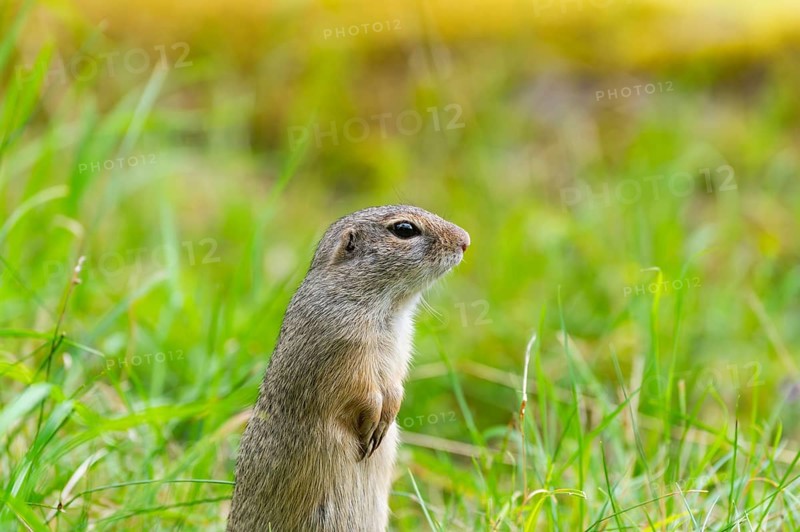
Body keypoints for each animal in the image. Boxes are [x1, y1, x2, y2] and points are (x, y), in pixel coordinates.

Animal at [227, 205, 470, 531]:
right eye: (404, 229)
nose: (465, 241)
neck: (387, 307)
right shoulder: (345, 349)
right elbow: (359, 390)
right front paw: (372, 424)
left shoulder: (400, 347)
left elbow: (395, 386)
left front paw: (387, 417)